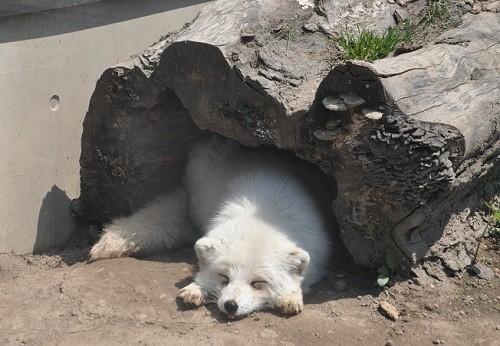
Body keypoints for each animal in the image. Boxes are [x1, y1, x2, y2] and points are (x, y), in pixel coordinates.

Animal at [90, 135, 332, 318]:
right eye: (224, 278)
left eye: (257, 282)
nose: (230, 305)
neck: (264, 213)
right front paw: (197, 288)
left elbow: (303, 281)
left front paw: (291, 296)